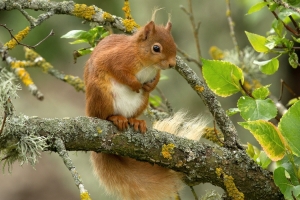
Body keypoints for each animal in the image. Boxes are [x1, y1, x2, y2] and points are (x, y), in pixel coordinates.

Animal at [83, 19, 207, 198]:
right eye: (156, 48)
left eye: (174, 44)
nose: (172, 64)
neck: (147, 64)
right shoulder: (116, 59)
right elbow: (120, 72)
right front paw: (135, 84)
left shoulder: (155, 73)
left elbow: (156, 79)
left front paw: (149, 86)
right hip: (101, 95)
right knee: (103, 115)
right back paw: (116, 118)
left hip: (141, 102)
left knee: (131, 115)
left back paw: (136, 121)